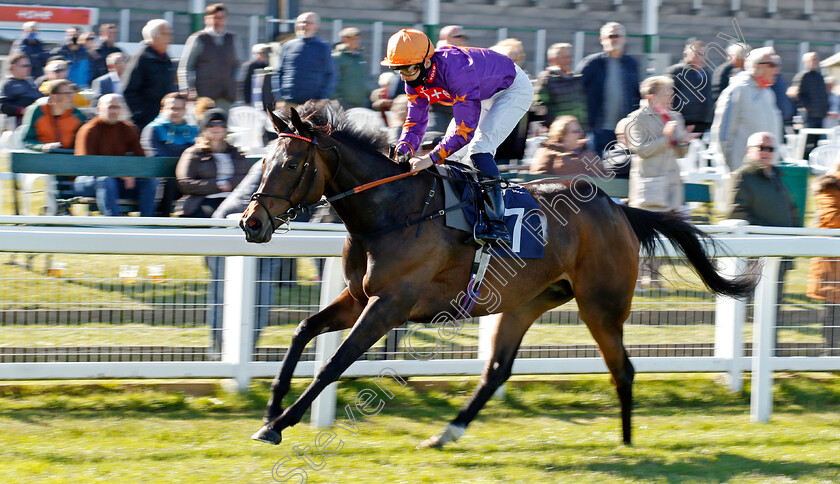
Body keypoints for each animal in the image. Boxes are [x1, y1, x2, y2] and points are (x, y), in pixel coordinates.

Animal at [238, 100, 756, 448]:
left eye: (291, 163)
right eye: (262, 161)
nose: (251, 223)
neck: (392, 211)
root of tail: (620, 208)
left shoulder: (389, 306)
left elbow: (333, 364)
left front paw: (279, 424)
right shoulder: (358, 299)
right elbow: (304, 331)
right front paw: (271, 408)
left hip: (601, 306)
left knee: (622, 368)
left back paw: (628, 443)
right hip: (527, 302)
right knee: (496, 370)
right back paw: (447, 433)